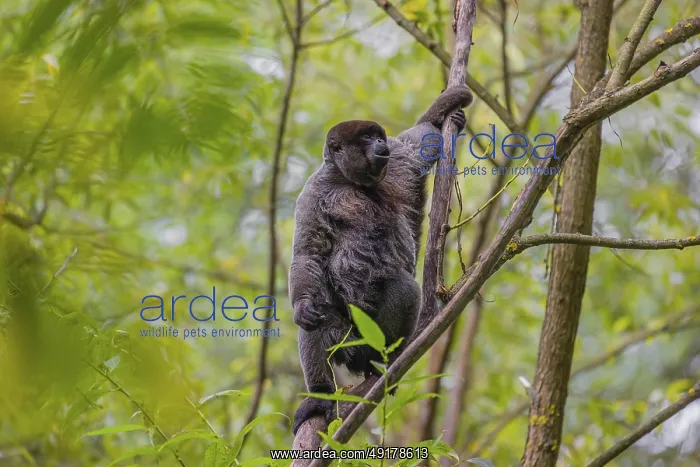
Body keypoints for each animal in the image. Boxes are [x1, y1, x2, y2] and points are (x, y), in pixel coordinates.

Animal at [289, 86, 473, 435]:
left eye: (378, 136)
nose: (379, 144)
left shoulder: (398, 163)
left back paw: (384, 359)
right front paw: (303, 304)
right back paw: (319, 395)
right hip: (345, 338)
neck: (352, 183)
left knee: (403, 286)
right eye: (365, 138)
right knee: (318, 317)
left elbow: (419, 140)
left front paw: (444, 115)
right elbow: (308, 254)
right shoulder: (312, 193)